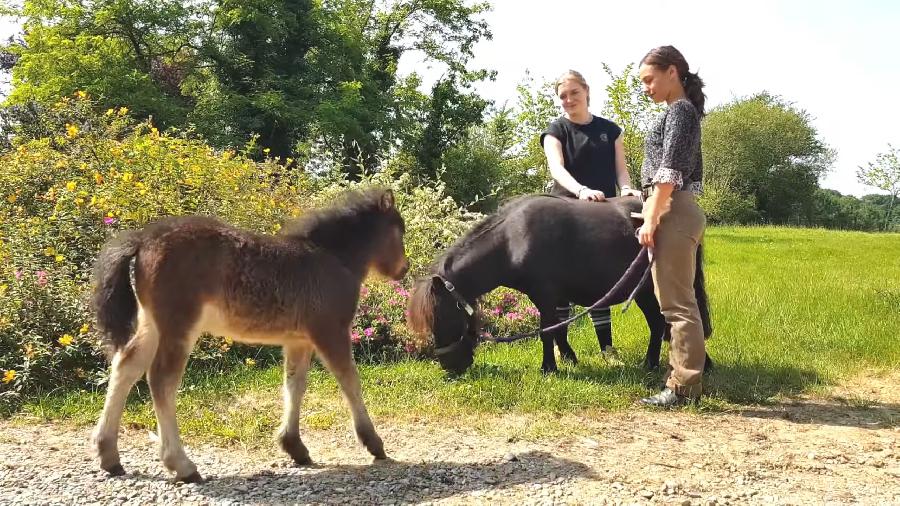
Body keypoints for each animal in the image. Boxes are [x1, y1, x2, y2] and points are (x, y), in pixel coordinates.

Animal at [89, 188, 408, 480]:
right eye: (399, 231)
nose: (404, 269)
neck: (333, 258)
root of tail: (144, 239)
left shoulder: (298, 340)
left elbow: (294, 385)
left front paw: (295, 447)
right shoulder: (331, 330)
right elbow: (350, 381)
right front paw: (374, 443)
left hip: (151, 323)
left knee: (126, 366)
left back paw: (109, 456)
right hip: (179, 325)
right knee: (161, 380)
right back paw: (182, 465)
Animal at [408, 194, 712, 376]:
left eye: (443, 317)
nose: (449, 366)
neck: (513, 240)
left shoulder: (545, 296)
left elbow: (547, 332)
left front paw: (548, 368)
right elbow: (557, 331)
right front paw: (565, 360)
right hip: (644, 293)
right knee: (660, 324)